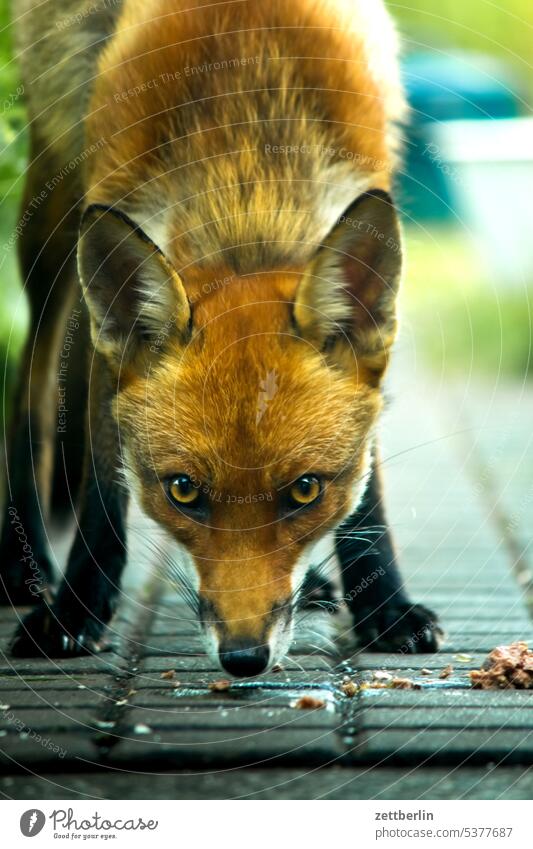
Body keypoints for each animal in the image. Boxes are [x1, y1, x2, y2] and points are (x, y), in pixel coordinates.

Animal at [0, 0, 440, 676]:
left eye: (305, 490)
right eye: (183, 491)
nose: (243, 657)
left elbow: (367, 491)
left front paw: (385, 606)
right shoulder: (114, 306)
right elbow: (103, 483)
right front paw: (76, 610)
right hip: (53, 223)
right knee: (30, 380)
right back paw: (21, 570)